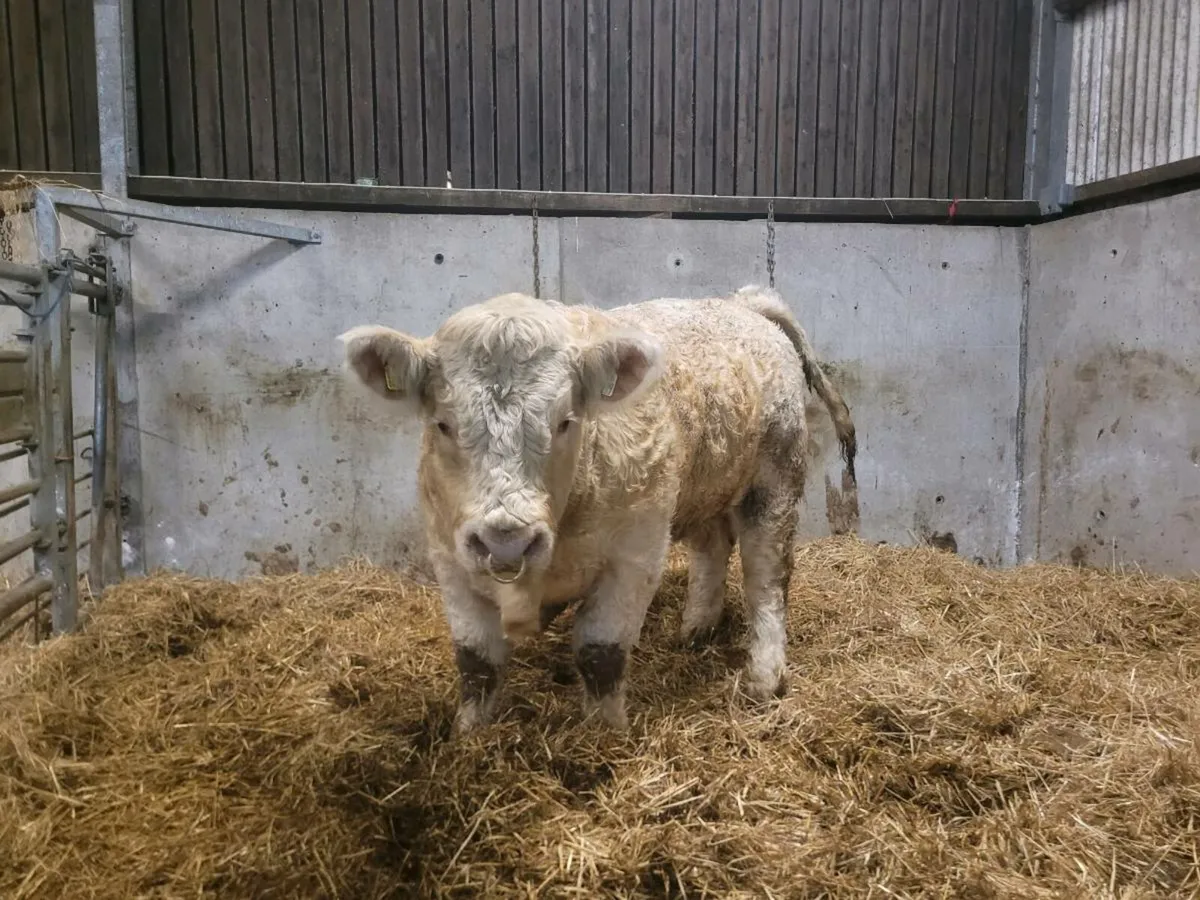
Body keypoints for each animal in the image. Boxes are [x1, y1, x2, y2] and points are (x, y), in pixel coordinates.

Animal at [339, 285, 857, 733]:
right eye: (443, 424)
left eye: (565, 421)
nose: (507, 540)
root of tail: (743, 303)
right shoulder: (450, 557)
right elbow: (476, 662)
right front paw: (468, 735)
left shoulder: (635, 555)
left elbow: (600, 654)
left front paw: (603, 736)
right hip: (701, 486)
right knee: (712, 548)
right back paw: (695, 629)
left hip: (775, 480)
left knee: (766, 577)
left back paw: (764, 679)